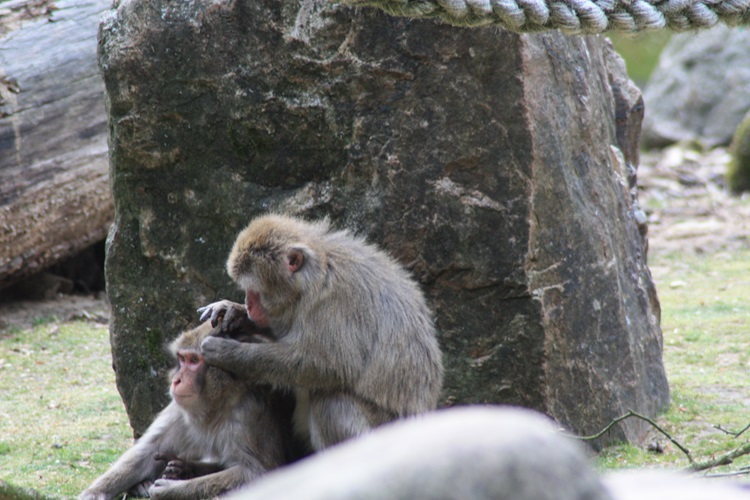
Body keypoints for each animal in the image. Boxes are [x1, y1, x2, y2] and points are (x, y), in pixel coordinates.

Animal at [201, 214, 446, 450]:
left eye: (255, 290)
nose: (248, 305)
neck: (316, 277)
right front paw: (234, 312)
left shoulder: (336, 301)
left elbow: (329, 366)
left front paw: (229, 354)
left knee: (331, 401)